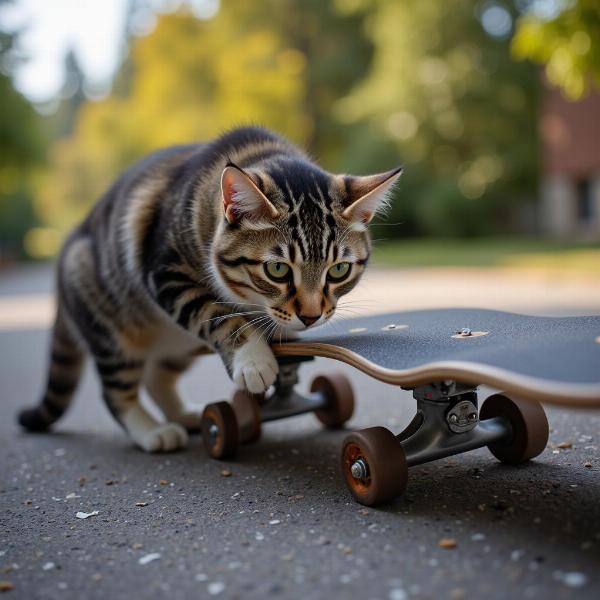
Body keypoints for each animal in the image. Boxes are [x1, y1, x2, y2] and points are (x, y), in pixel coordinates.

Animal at [17, 127, 404, 454]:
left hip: (179, 343)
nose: (310, 316)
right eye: (277, 269)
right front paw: (253, 358)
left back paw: (185, 415)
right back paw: (153, 431)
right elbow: (218, 314)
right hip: (112, 330)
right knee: (117, 391)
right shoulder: (167, 274)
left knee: (158, 376)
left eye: (338, 270)